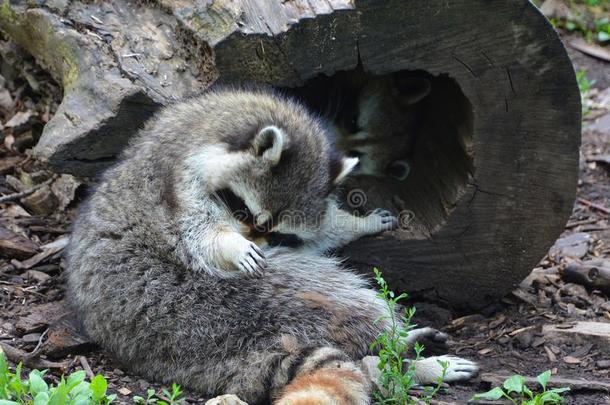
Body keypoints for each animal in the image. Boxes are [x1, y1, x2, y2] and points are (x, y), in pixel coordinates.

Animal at [65, 87, 476, 402]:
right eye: (244, 212)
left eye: (281, 234)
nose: (258, 243)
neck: (212, 123)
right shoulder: (175, 184)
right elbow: (199, 232)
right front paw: (229, 244)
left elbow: (321, 232)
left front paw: (353, 223)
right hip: (209, 303)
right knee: (345, 300)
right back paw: (400, 357)